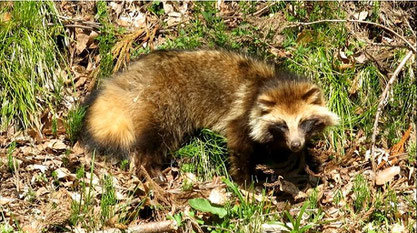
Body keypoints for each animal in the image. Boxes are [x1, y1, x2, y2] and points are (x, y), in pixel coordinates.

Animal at [81, 49, 338, 184]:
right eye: (283, 124)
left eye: (303, 122)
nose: (296, 144)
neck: (274, 83)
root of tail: (137, 73)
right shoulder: (242, 114)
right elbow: (238, 146)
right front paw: (245, 181)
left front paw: (290, 159)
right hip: (164, 104)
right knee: (156, 138)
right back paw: (148, 167)